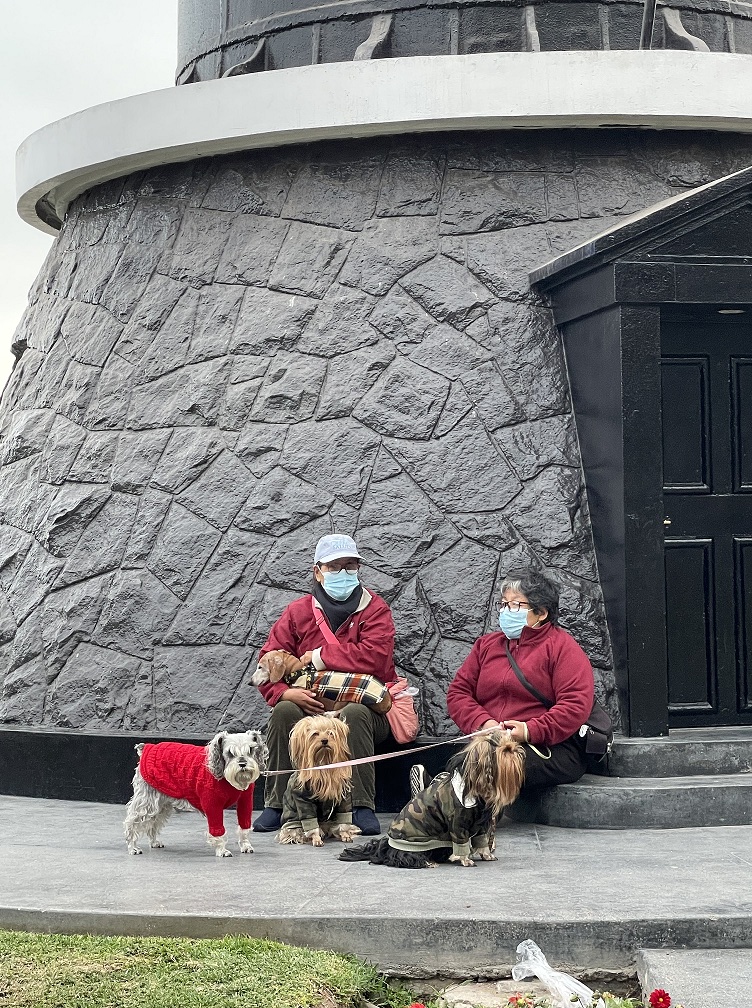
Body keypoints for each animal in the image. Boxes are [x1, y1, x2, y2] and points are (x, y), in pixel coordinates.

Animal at [123, 730, 267, 857]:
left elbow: (244, 825)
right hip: (147, 802)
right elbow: (217, 830)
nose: (243, 763)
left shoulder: (245, 801)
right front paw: (222, 850)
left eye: (251, 750)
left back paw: (154, 842)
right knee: (132, 822)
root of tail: (147, 747)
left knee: (153, 822)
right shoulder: (212, 805)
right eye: (230, 753)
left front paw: (246, 845)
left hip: (162, 803)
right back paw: (132, 847)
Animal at [277, 714, 361, 847]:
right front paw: (316, 838)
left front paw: (345, 835)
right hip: (293, 825)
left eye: (330, 733)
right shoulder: (304, 800)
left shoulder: (344, 798)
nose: (325, 740)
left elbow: (343, 819)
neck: (324, 763)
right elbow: (310, 822)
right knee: (295, 832)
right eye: (315, 734)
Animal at [339, 729, 525, 868]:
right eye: (506, 750)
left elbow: (482, 841)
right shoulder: (458, 823)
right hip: (414, 844)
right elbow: (462, 843)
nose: (519, 751)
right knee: (401, 858)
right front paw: (465, 859)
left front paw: (486, 855)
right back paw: (426, 862)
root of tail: (387, 845)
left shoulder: (480, 826)